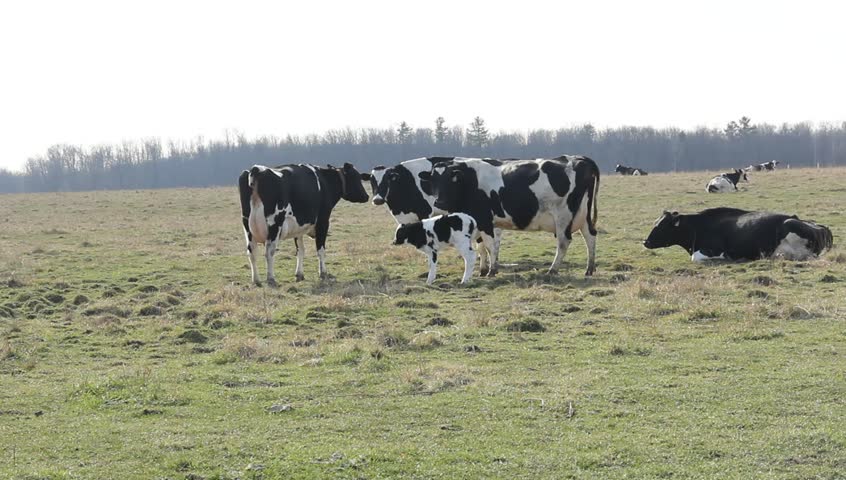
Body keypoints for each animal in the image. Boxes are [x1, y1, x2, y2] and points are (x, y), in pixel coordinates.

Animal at [238, 162, 369, 285]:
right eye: (356, 177)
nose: (366, 196)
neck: (325, 181)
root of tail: (257, 169)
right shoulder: (323, 221)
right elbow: (320, 249)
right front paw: (323, 273)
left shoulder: (298, 227)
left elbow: (300, 250)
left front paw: (299, 274)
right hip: (274, 223)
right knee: (269, 251)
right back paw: (271, 278)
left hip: (247, 225)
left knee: (252, 252)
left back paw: (256, 280)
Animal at [421, 155, 600, 276]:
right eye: (433, 180)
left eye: (451, 180)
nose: (439, 202)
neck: (469, 181)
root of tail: (578, 158)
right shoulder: (477, 221)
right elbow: (481, 246)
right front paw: (483, 270)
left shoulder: (485, 219)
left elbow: (490, 245)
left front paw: (492, 271)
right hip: (583, 214)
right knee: (590, 235)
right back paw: (589, 269)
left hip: (563, 215)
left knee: (564, 241)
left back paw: (552, 270)